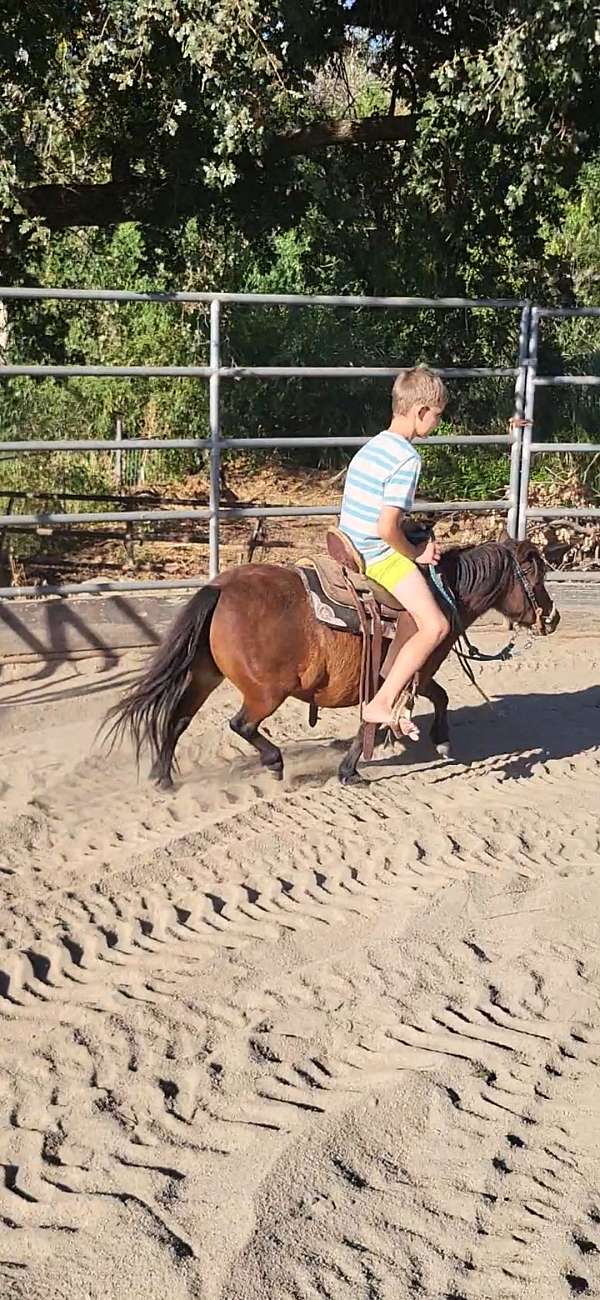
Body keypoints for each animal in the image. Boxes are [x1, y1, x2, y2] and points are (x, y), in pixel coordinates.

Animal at [103, 535, 558, 785]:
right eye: (536, 577)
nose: (552, 617)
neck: (443, 595)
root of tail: (220, 589)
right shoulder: (410, 670)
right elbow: (382, 717)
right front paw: (350, 771)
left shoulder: (413, 674)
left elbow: (438, 698)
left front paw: (440, 739)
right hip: (266, 693)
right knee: (241, 724)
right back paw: (274, 763)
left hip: (204, 675)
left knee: (177, 719)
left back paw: (163, 778)